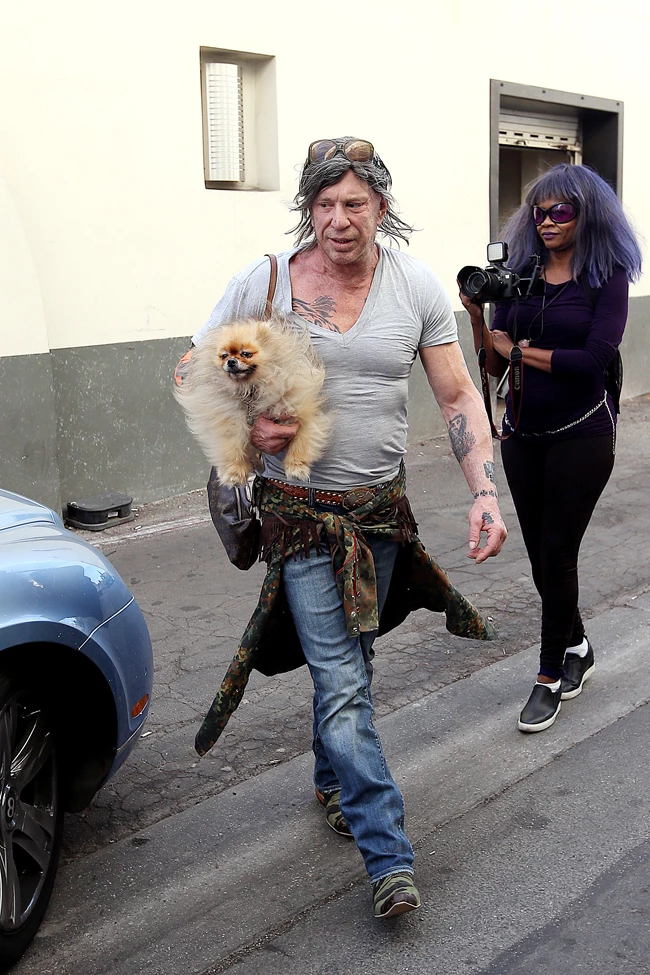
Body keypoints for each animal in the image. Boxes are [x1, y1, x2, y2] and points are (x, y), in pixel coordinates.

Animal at [173, 318, 330, 486]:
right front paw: (234, 473)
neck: (249, 389)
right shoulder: (231, 423)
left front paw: (296, 468)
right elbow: (232, 449)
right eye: (224, 355)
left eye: (246, 354)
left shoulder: (299, 413)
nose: (231, 361)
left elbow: (301, 443)